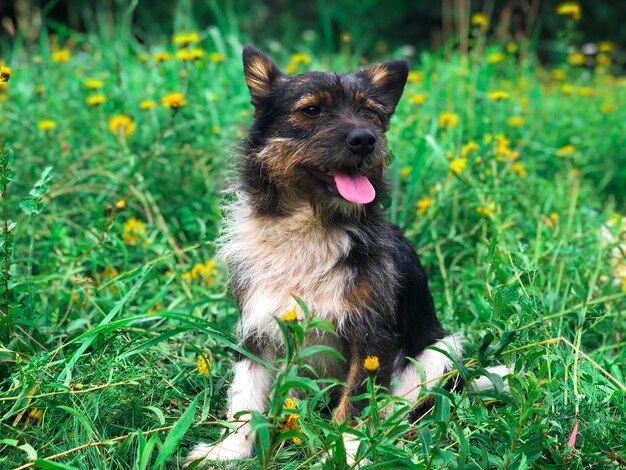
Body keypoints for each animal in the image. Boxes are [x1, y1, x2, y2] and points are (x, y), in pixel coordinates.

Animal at [185, 46, 508, 468]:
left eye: (370, 112)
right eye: (311, 110)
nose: (365, 139)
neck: (312, 225)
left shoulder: (372, 337)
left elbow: (356, 403)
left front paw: (345, 452)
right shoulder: (257, 322)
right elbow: (246, 391)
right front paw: (230, 450)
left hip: (439, 352)